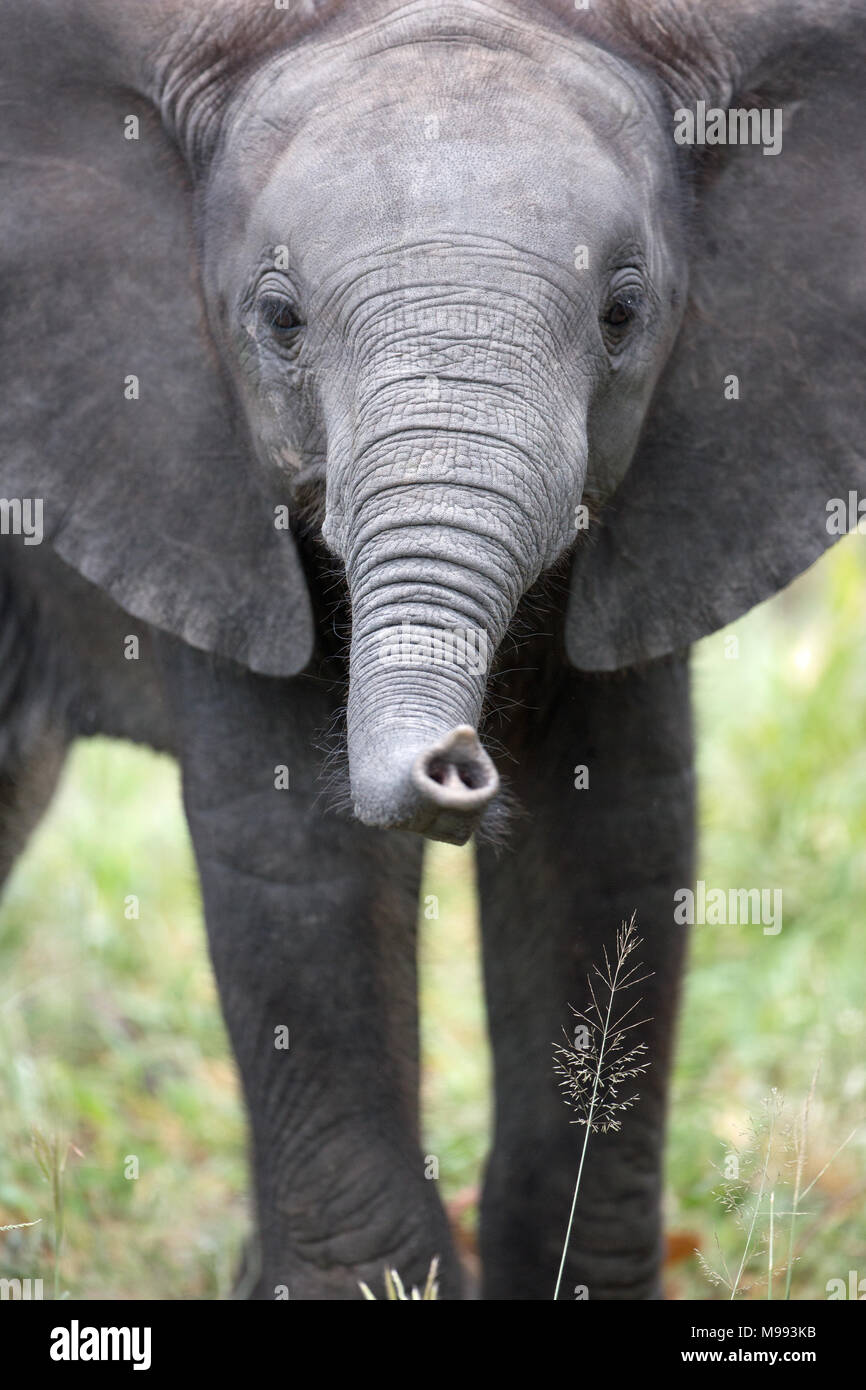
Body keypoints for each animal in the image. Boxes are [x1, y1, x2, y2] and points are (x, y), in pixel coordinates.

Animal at [0, 2, 861, 1301]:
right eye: (279, 322)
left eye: (621, 315)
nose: (457, 759)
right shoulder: (175, 459)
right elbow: (292, 852)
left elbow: (614, 838)